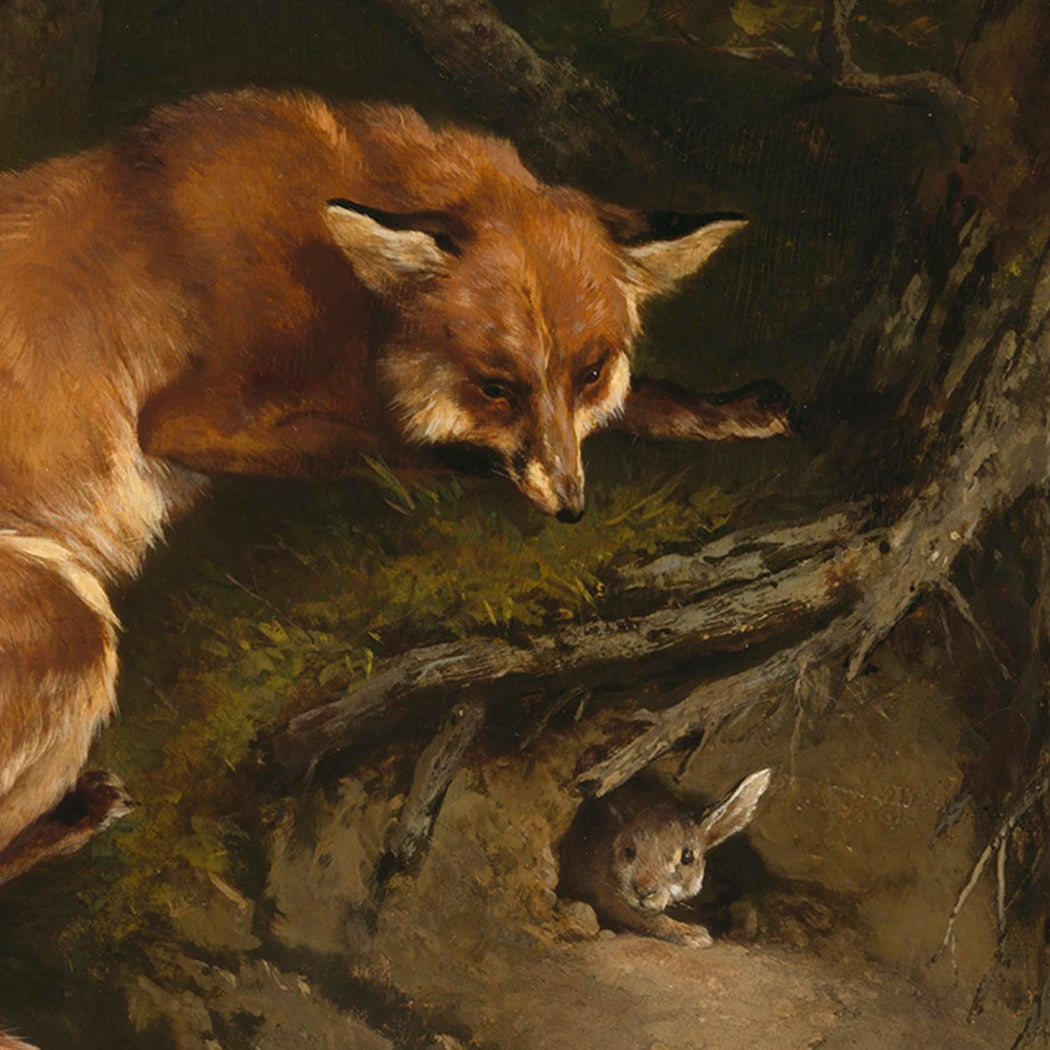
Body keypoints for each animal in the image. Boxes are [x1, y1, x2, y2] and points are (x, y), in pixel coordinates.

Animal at [0, 89, 790, 889]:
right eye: (496, 387)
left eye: (590, 372)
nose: (570, 508)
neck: (333, 267)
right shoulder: (187, 420)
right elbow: (402, 446)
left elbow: (636, 404)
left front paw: (732, 410)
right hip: (75, 620)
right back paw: (78, 816)